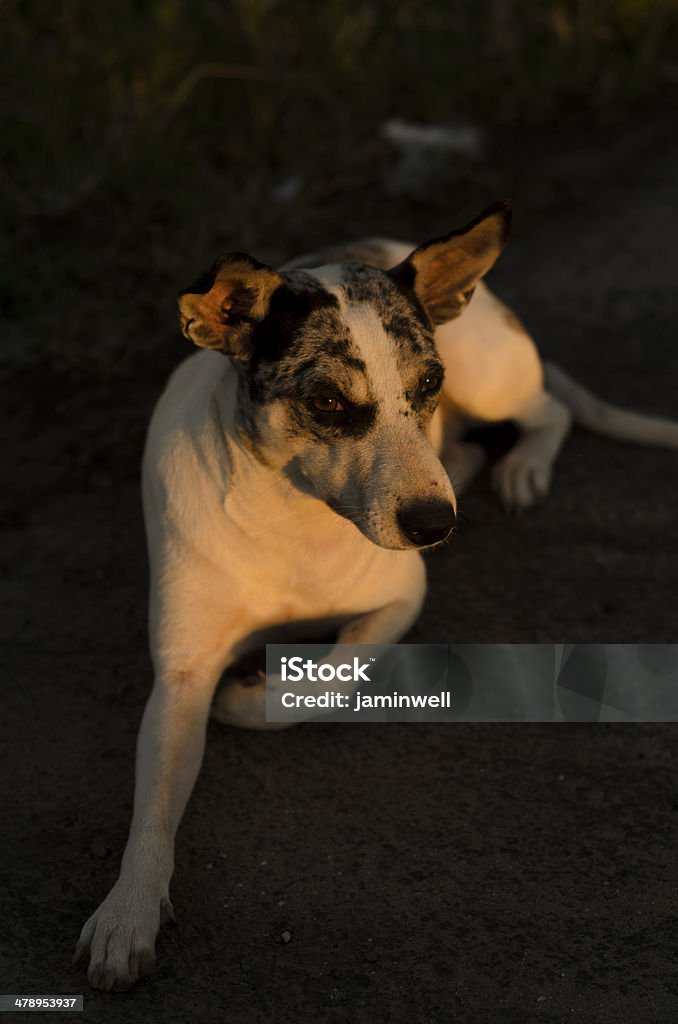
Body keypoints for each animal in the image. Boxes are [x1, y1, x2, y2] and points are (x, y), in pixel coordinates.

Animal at [74, 201, 678, 991]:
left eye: (427, 385)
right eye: (327, 400)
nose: (434, 525)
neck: (292, 515)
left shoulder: (400, 600)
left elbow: (322, 684)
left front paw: (246, 693)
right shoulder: (180, 672)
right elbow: (152, 805)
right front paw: (128, 910)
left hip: (491, 378)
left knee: (550, 411)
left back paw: (522, 467)